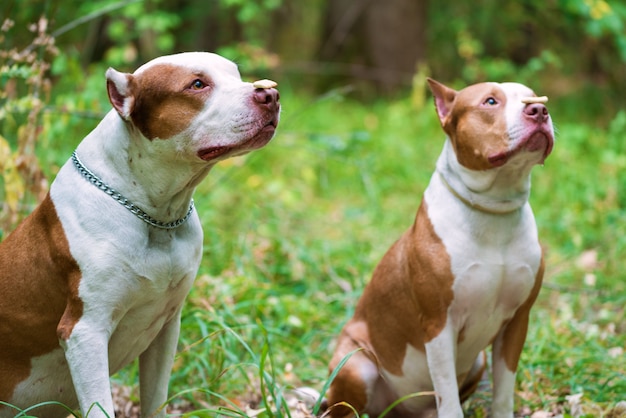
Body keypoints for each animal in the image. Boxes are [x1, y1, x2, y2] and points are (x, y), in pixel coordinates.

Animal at [0, 52, 280, 418]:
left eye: (236, 74)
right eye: (197, 84)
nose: (270, 93)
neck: (156, 215)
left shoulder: (166, 327)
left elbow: (155, 398)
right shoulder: (85, 332)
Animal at [322, 79, 552, 418]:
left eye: (535, 98)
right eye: (490, 101)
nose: (539, 110)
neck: (493, 210)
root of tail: (396, 412)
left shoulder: (517, 322)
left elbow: (503, 390)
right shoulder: (439, 324)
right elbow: (447, 393)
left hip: (478, 361)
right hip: (356, 365)